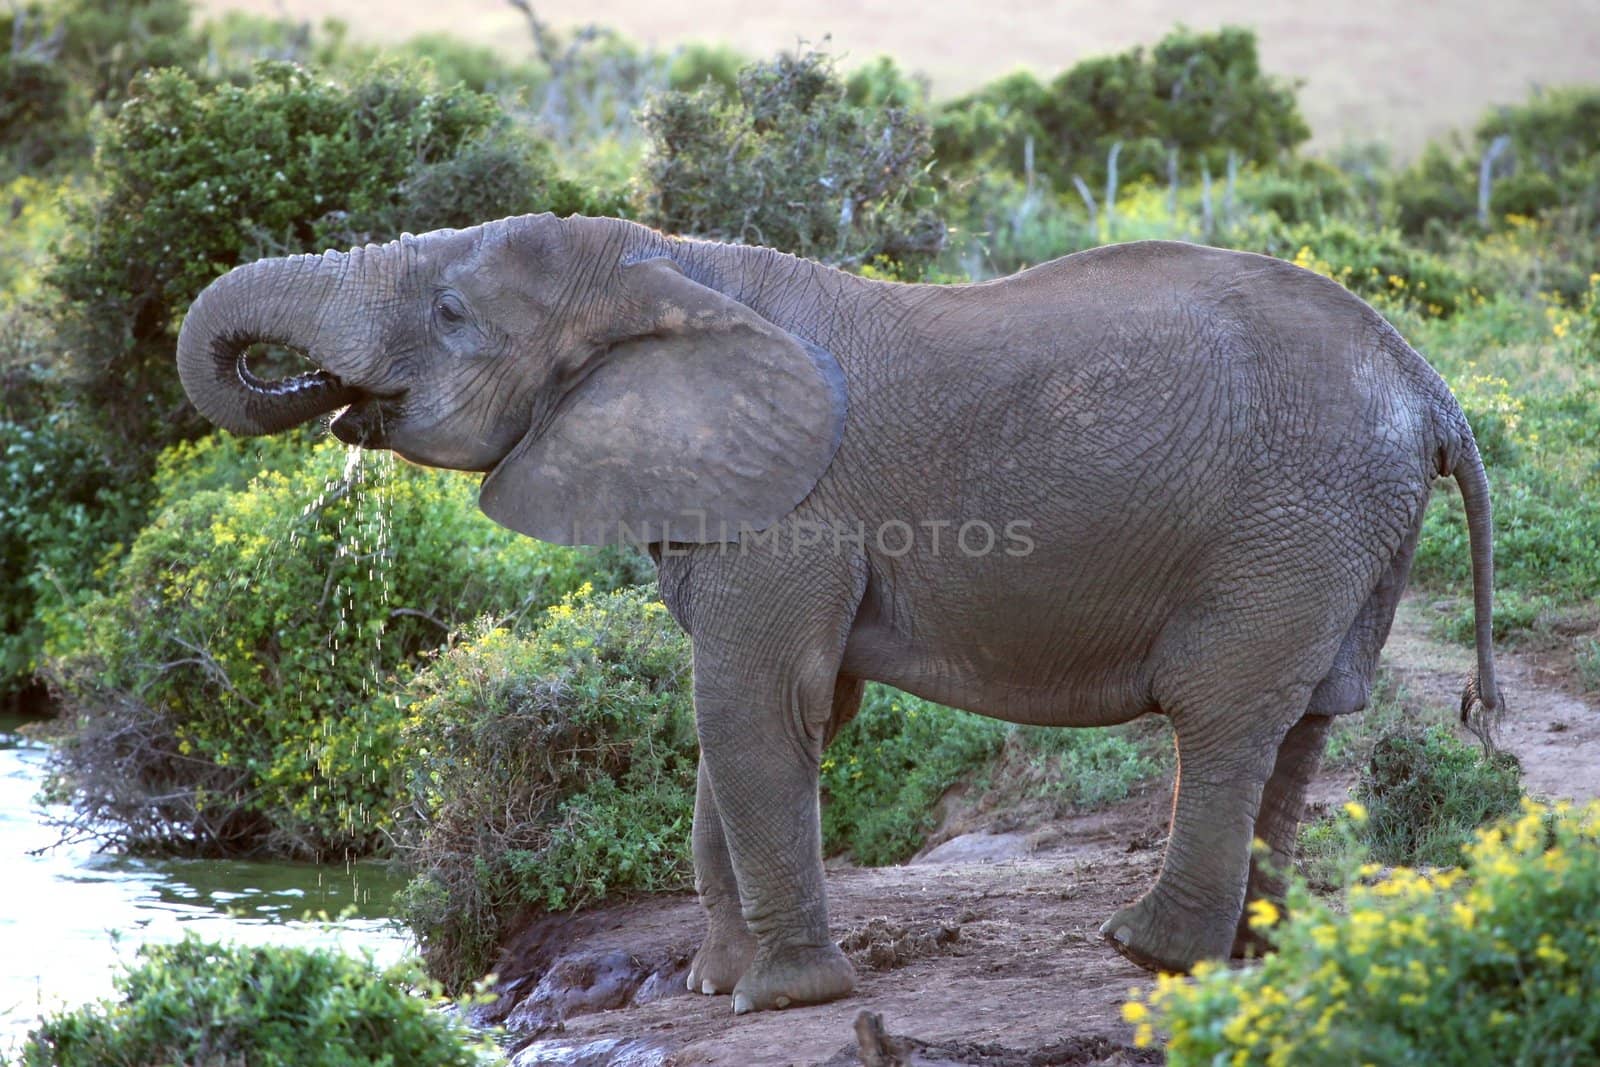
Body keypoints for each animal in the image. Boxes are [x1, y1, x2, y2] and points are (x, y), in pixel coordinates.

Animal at [178, 211, 1497, 1017]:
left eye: (450, 313)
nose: (319, 393)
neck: (665, 262)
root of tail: (1431, 385)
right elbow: (736, 720)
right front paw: (712, 985)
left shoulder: (793, 511)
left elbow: (762, 706)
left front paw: (783, 998)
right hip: (1345, 528)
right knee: (1306, 716)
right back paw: (1258, 950)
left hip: (1292, 516)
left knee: (1223, 714)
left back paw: (1148, 952)